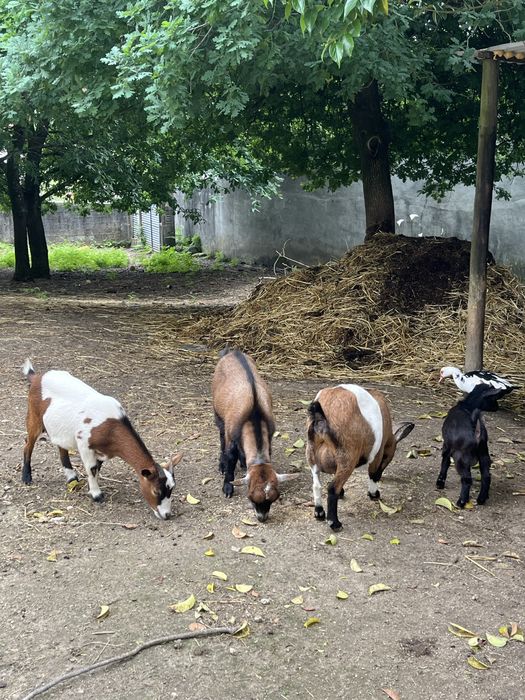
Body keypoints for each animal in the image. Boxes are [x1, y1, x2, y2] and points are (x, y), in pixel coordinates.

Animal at [21, 360, 182, 520]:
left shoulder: (102, 451)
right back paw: (26, 477)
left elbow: (97, 468)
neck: (111, 427)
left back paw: (71, 478)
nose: (167, 515)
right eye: (156, 491)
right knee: (28, 445)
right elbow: (92, 469)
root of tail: (37, 377)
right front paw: (96, 495)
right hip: (34, 417)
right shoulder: (83, 442)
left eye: (172, 489)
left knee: (61, 447)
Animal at [212, 349, 299, 522]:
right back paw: (221, 464)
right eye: (251, 497)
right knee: (221, 435)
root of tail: (232, 352)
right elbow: (230, 457)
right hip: (218, 414)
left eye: (274, 499)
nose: (262, 517)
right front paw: (227, 486)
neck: (254, 413)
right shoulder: (231, 435)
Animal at [306, 384, 414, 531]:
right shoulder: (377, 453)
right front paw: (374, 494)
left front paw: (342, 492)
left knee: (317, 485)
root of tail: (321, 416)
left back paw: (319, 512)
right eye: (387, 458)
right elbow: (373, 474)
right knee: (332, 488)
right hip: (347, 458)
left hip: (312, 456)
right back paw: (334, 523)